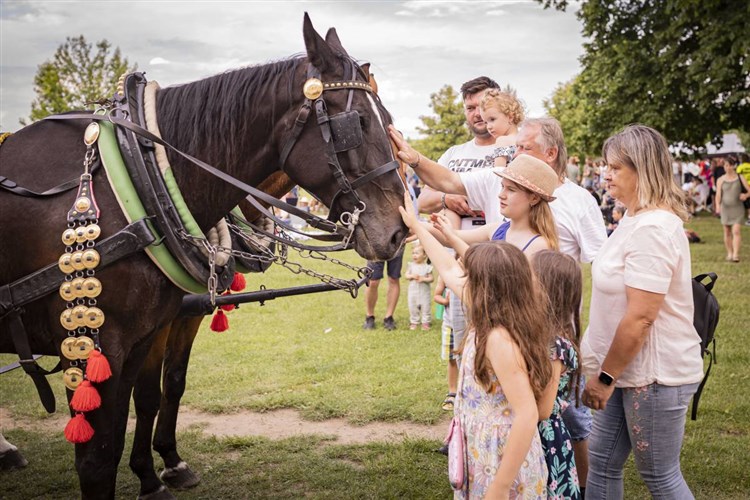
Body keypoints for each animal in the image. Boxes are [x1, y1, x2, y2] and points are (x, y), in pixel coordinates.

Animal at [0, 13, 408, 498]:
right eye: (358, 122)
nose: (400, 230)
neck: (140, 178)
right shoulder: (94, 346)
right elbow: (99, 455)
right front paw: (154, 470)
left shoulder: (154, 330)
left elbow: (160, 393)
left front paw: (161, 468)